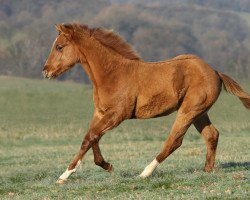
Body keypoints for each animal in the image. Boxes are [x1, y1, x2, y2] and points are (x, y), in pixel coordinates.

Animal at [43, 22, 250, 184]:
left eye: (59, 47)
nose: (46, 71)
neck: (113, 74)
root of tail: (215, 71)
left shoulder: (118, 114)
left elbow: (90, 137)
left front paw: (64, 175)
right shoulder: (100, 112)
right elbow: (92, 137)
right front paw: (107, 165)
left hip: (188, 111)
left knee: (174, 141)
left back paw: (144, 173)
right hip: (199, 112)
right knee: (211, 135)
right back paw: (207, 170)